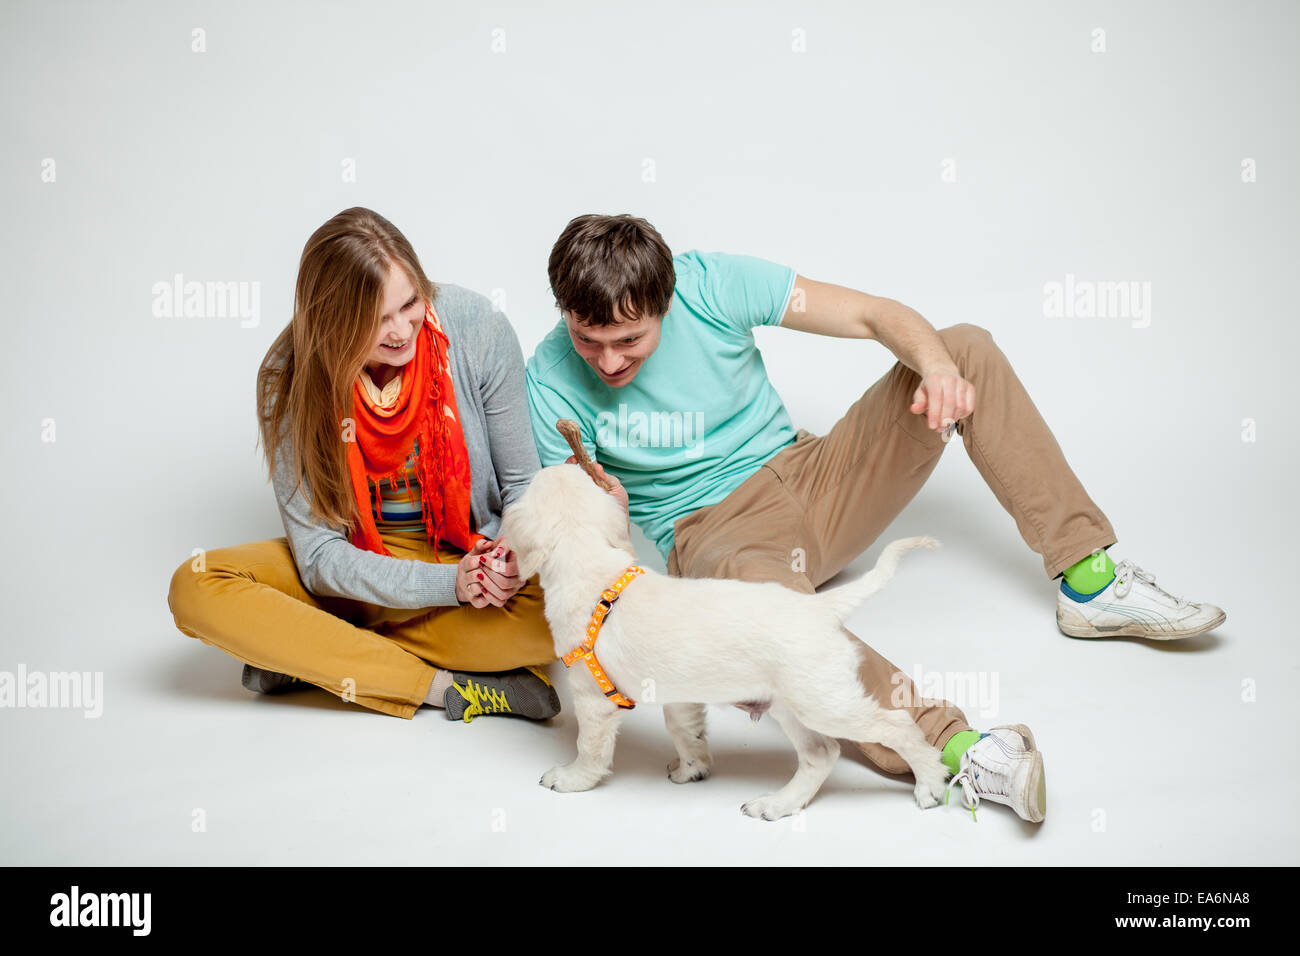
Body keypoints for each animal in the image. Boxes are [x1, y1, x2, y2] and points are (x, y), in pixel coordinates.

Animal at [501, 465, 951, 822]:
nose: (565, 458)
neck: (593, 571)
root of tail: (819, 607)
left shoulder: (593, 697)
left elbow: (590, 747)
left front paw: (571, 778)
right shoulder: (680, 695)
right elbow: (686, 731)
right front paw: (693, 768)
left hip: (824, 703)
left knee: (898, 726)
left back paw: (929, 781)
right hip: (788, 706)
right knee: (821, 754)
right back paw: (777, 804)